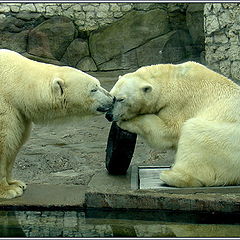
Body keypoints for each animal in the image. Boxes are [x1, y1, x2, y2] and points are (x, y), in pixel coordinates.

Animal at [0, 49, 113, 199]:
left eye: (98, 84)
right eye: (93, 89)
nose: (113, 98)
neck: (16, 82)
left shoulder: (20, 113)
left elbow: (15, 141)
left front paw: (16, 183)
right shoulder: (4, 107)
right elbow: (4, 143)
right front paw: (9, 190)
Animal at [106, 61, 240, 188]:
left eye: (121, 99)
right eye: (111, 96)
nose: (109, 115)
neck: (171, 79)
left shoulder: (179, 104)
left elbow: (168, 131)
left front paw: (125, 122)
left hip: (225, 137)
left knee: (194, 131)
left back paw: (171, 175)